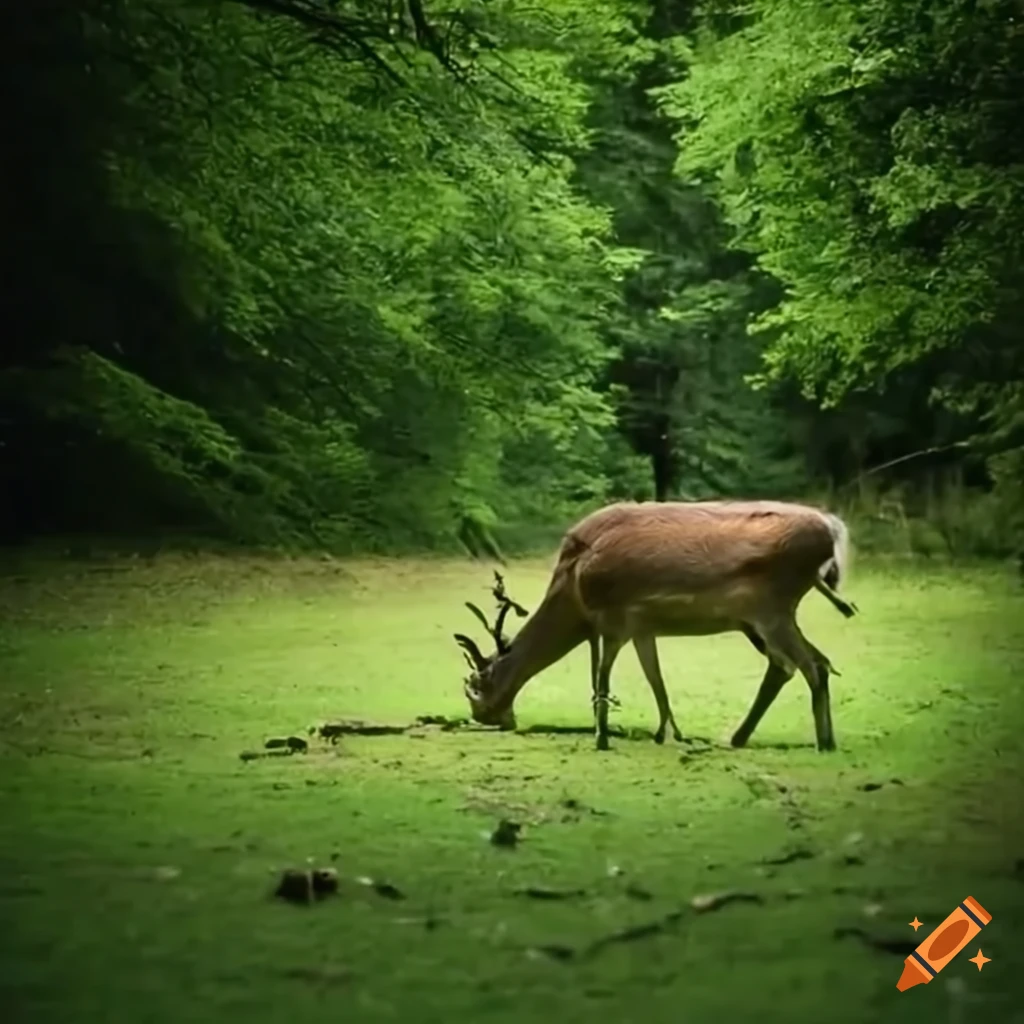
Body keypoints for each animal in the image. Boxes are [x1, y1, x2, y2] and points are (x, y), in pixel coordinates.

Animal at [453, 500, 857, 752]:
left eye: (476, 684)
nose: (485, 717)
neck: (573, 592)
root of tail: (833, 531)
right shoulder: (641, 628)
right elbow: (656, 681)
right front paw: (668, 734)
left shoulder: (614, 618)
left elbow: (602, 680)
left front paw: (602, 739)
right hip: (759, 618)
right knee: (799, 664)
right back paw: (739, 737)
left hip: (771, 607)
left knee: (810, 666)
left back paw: (824, 742)